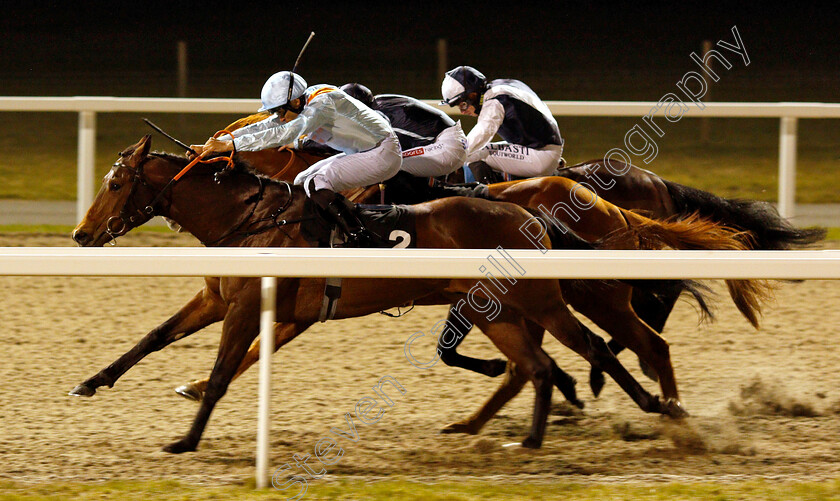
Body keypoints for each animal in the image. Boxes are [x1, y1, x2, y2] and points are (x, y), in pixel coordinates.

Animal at [70, 135, 688, 452]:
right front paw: (90, 382)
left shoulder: (249, 306)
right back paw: (524, 434)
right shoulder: (220, 300)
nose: (80, 235)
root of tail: (530, 214)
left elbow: (226, 370)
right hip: (499, 310)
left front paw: (186, 440)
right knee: (535, 366)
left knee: (603, 345)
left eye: (116, 183)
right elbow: (153, 337)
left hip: (546, 301)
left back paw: (658, 406)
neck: (251, 219)